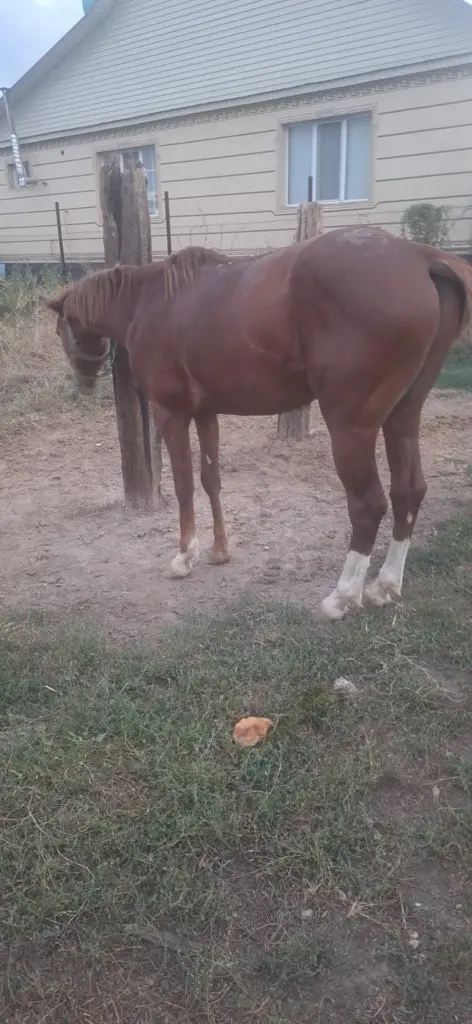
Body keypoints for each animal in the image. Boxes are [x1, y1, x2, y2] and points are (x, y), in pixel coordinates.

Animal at [46, 227, 471, 620]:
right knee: (408, 492)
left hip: (352, 428)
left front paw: (185, 557)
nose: (83, 383)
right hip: (403, 417)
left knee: (368, 504)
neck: (149, 302)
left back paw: (343, 597)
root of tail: (420, 258)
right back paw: (384, 586)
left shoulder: (171, 413)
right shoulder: (205, 413)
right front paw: (220, 550)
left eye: (61, 329)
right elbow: (211, 480)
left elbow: (184, 485)